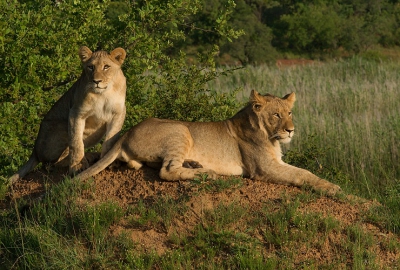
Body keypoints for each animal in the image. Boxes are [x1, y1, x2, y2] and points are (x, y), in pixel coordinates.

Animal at [9, 46, 126, 184]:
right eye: (90, 67)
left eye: (106, 67)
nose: (96, 81)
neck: (104, 93)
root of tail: (34, 152)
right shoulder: (76, 113)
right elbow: (76, 143)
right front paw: (77, 166)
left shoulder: (118, 113)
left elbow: (111, 138)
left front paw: (107, 161)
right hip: (61, 127)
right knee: (51, 164)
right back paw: (88, 157)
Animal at [77, 90, 340, 194]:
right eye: (276, 115)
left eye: (289, 113)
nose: (291, 130)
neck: (269, 135)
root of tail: (124, 134)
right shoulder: (264, 168)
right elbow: (302, 174)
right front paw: (332, 187)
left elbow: (302, 171)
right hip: (180, 129)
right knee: (167, 171)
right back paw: (208, 173)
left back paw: (195, 165)